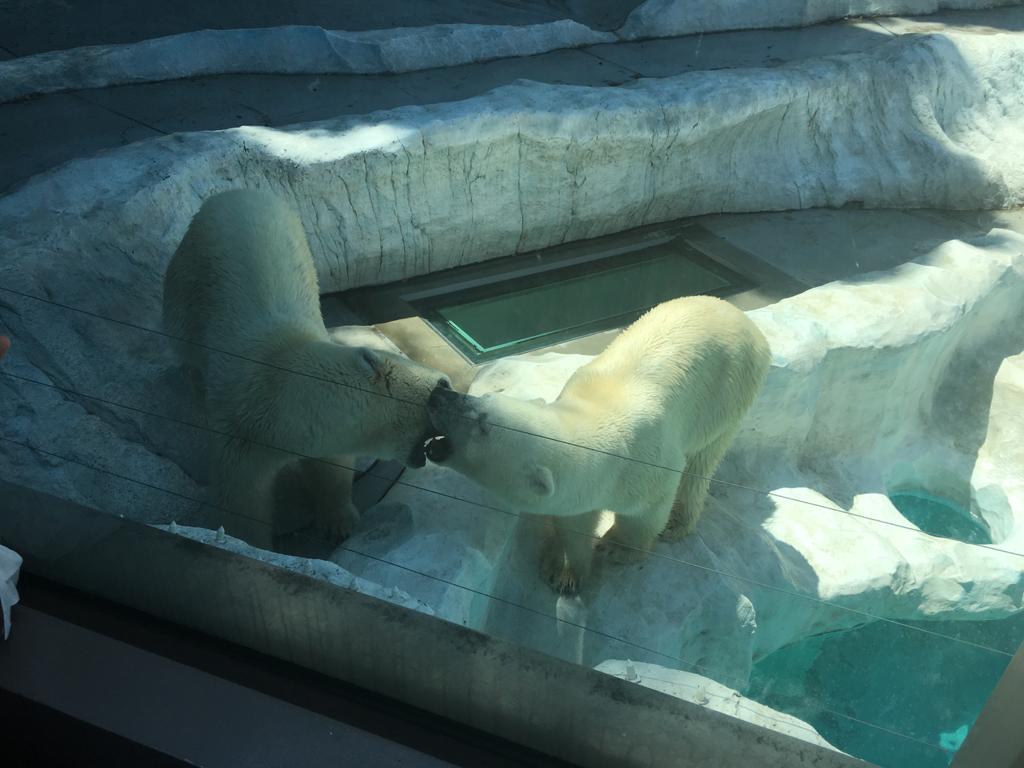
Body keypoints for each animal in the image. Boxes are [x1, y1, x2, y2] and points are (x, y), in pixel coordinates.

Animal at [162, 189, 449, 550]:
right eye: (440, 388)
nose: (450, 385)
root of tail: (232, 193)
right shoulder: (240, 434)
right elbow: (243, 499)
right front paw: (249, 542)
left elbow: (332, 468)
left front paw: (339, 521)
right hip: (190, 274)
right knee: (186, 341)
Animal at [425, 295, 770, 594]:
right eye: (483, 397)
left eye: (483, 425)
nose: (439, 395)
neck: (593, 419)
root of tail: (746, 321)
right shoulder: (582, 489)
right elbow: (574, 523)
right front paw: (563, 571)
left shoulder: (649, 466)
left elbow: (647, 512)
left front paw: (617, 548)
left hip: (728, 392)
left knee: (702, 461)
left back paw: (677, 523)